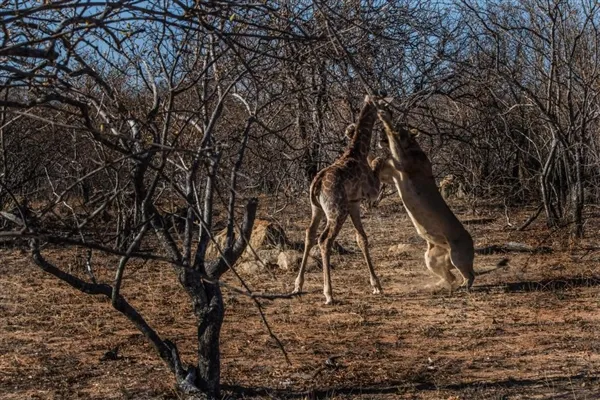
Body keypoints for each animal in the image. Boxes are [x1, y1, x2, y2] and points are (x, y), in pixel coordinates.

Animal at [292, 95, 382, 304]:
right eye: (379, 101)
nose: (384, 110)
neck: (357, 151)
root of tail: (316, 184)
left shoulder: (354, 202)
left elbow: (361, 238)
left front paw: (375, 285)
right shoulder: (368, 193)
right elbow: (378, 161)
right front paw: (376, 285)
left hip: (317, 209)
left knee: (310, 234)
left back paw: (298, 285)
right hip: (337, 211)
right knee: (324, 240)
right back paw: (328, 293)